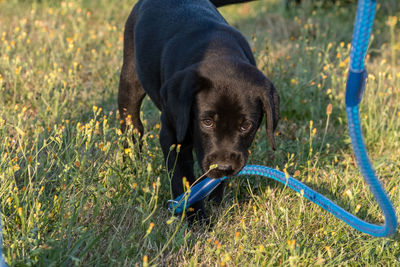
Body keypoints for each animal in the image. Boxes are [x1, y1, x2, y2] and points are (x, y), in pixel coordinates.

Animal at [118, 0, 278, 222]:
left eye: (246, 125)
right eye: (207, 122)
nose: (224, 167)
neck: (218, 52)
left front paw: (215, 203)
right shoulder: (172, 136)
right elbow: (184, 179)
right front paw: (196, 219)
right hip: (130, 80)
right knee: (132, 128)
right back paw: (131, 167)